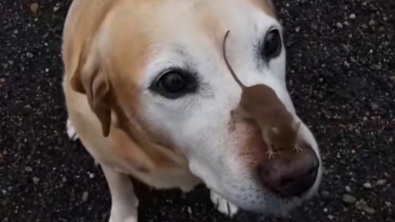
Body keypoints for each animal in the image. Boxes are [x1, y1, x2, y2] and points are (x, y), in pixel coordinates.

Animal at [62, 0, 322, 221]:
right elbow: (121, 190)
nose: (298, 174)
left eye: (271, 42)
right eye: (173, 82)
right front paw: (123, 215)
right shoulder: (110, 163)